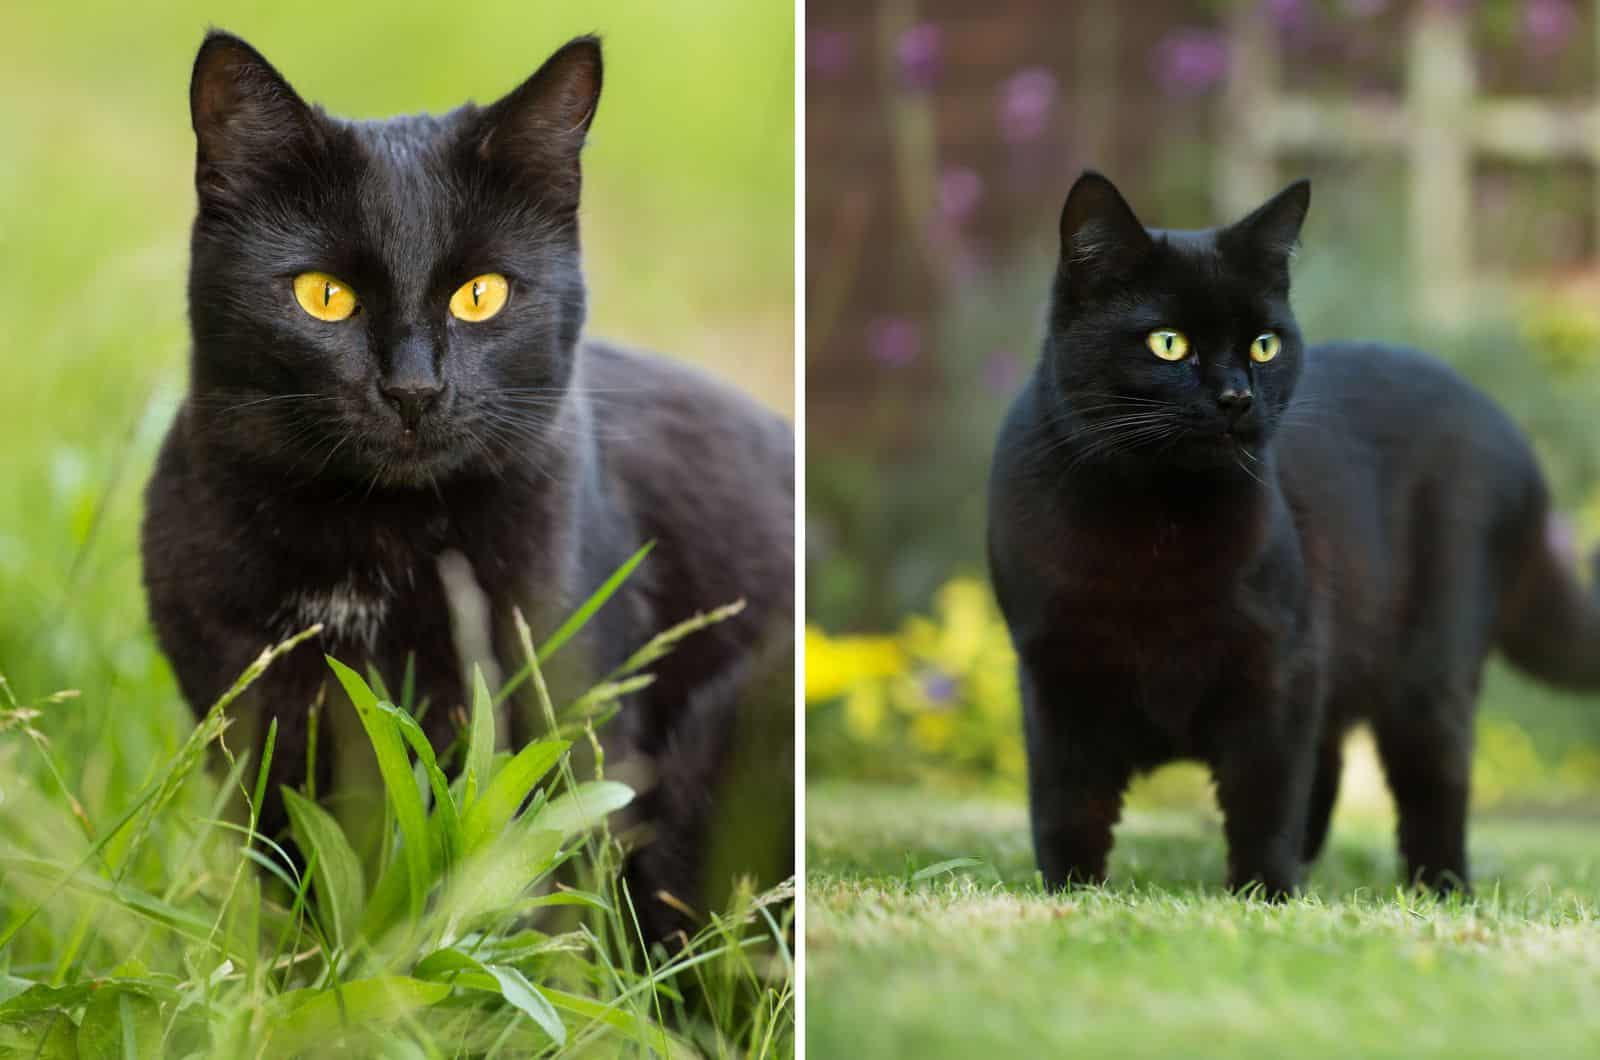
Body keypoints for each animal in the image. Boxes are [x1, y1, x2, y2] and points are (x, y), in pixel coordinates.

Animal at [140, 35, 790, 947]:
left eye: (481, 294)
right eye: (323, 296)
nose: (413, 388)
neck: (373, 544)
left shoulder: (564, 723)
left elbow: (537, 908)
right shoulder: (257, 737)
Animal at [985, 172, 1600, 896]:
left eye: (1264, 345)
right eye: (1168, 343)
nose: (1236, 396)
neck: (1156, 526)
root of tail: (1508, 429)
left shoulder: (1278, 667)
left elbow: (1266, 796)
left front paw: (1264, 896)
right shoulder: (1054, 672)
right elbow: (1065, 803)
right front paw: (1070, 895)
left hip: (1431, 669)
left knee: (1431, 784)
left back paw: (1441, 891)